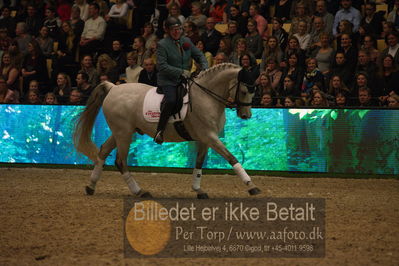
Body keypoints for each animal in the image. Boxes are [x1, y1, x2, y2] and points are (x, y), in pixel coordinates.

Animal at [74, 63, 262, 198]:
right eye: (244, 91)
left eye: (254, 91)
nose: (246, 115)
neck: (206, 97)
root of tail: (113, 88)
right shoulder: (209, 136)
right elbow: (232, 158)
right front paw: (251, 186)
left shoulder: (204, 139)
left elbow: (199, 163)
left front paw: (198, 189)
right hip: (124, 133)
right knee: (120, 161)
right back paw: (139, 191)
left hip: (121, 132)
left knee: (103, 151)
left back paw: (91, 186)